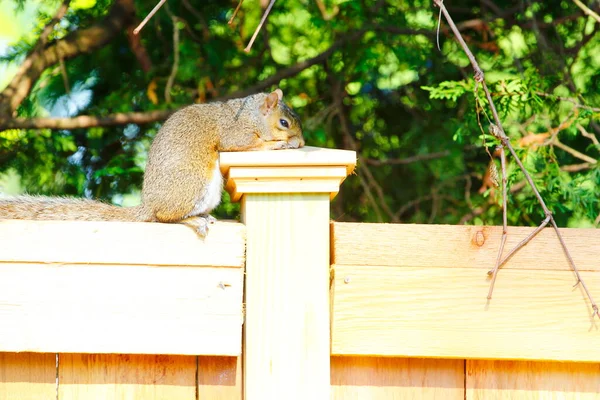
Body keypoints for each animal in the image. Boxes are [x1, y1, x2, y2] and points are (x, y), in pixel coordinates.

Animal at [0, 89, 304, 236]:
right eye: (284, 123)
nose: (301, 143)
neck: (251, 115)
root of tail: (149, 205)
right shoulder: (234, 133)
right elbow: (246, 144)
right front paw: (279, 144)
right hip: (194, 184)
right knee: (166, 217)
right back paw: (193, 220)